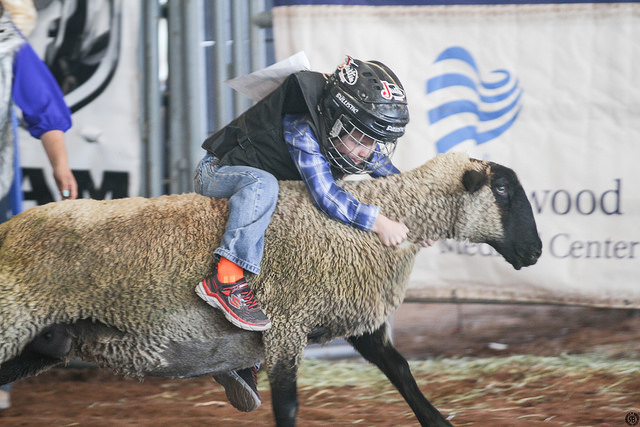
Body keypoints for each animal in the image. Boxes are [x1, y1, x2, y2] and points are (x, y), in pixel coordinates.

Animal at [0, 152, 544, 426]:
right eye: (502, 190)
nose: (536, 251)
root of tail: (10, 227)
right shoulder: (287, 323)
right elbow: (288, 403)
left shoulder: (357, 321)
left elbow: (403, 373)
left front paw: (439, 421)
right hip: (14, 316)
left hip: (47, 339)